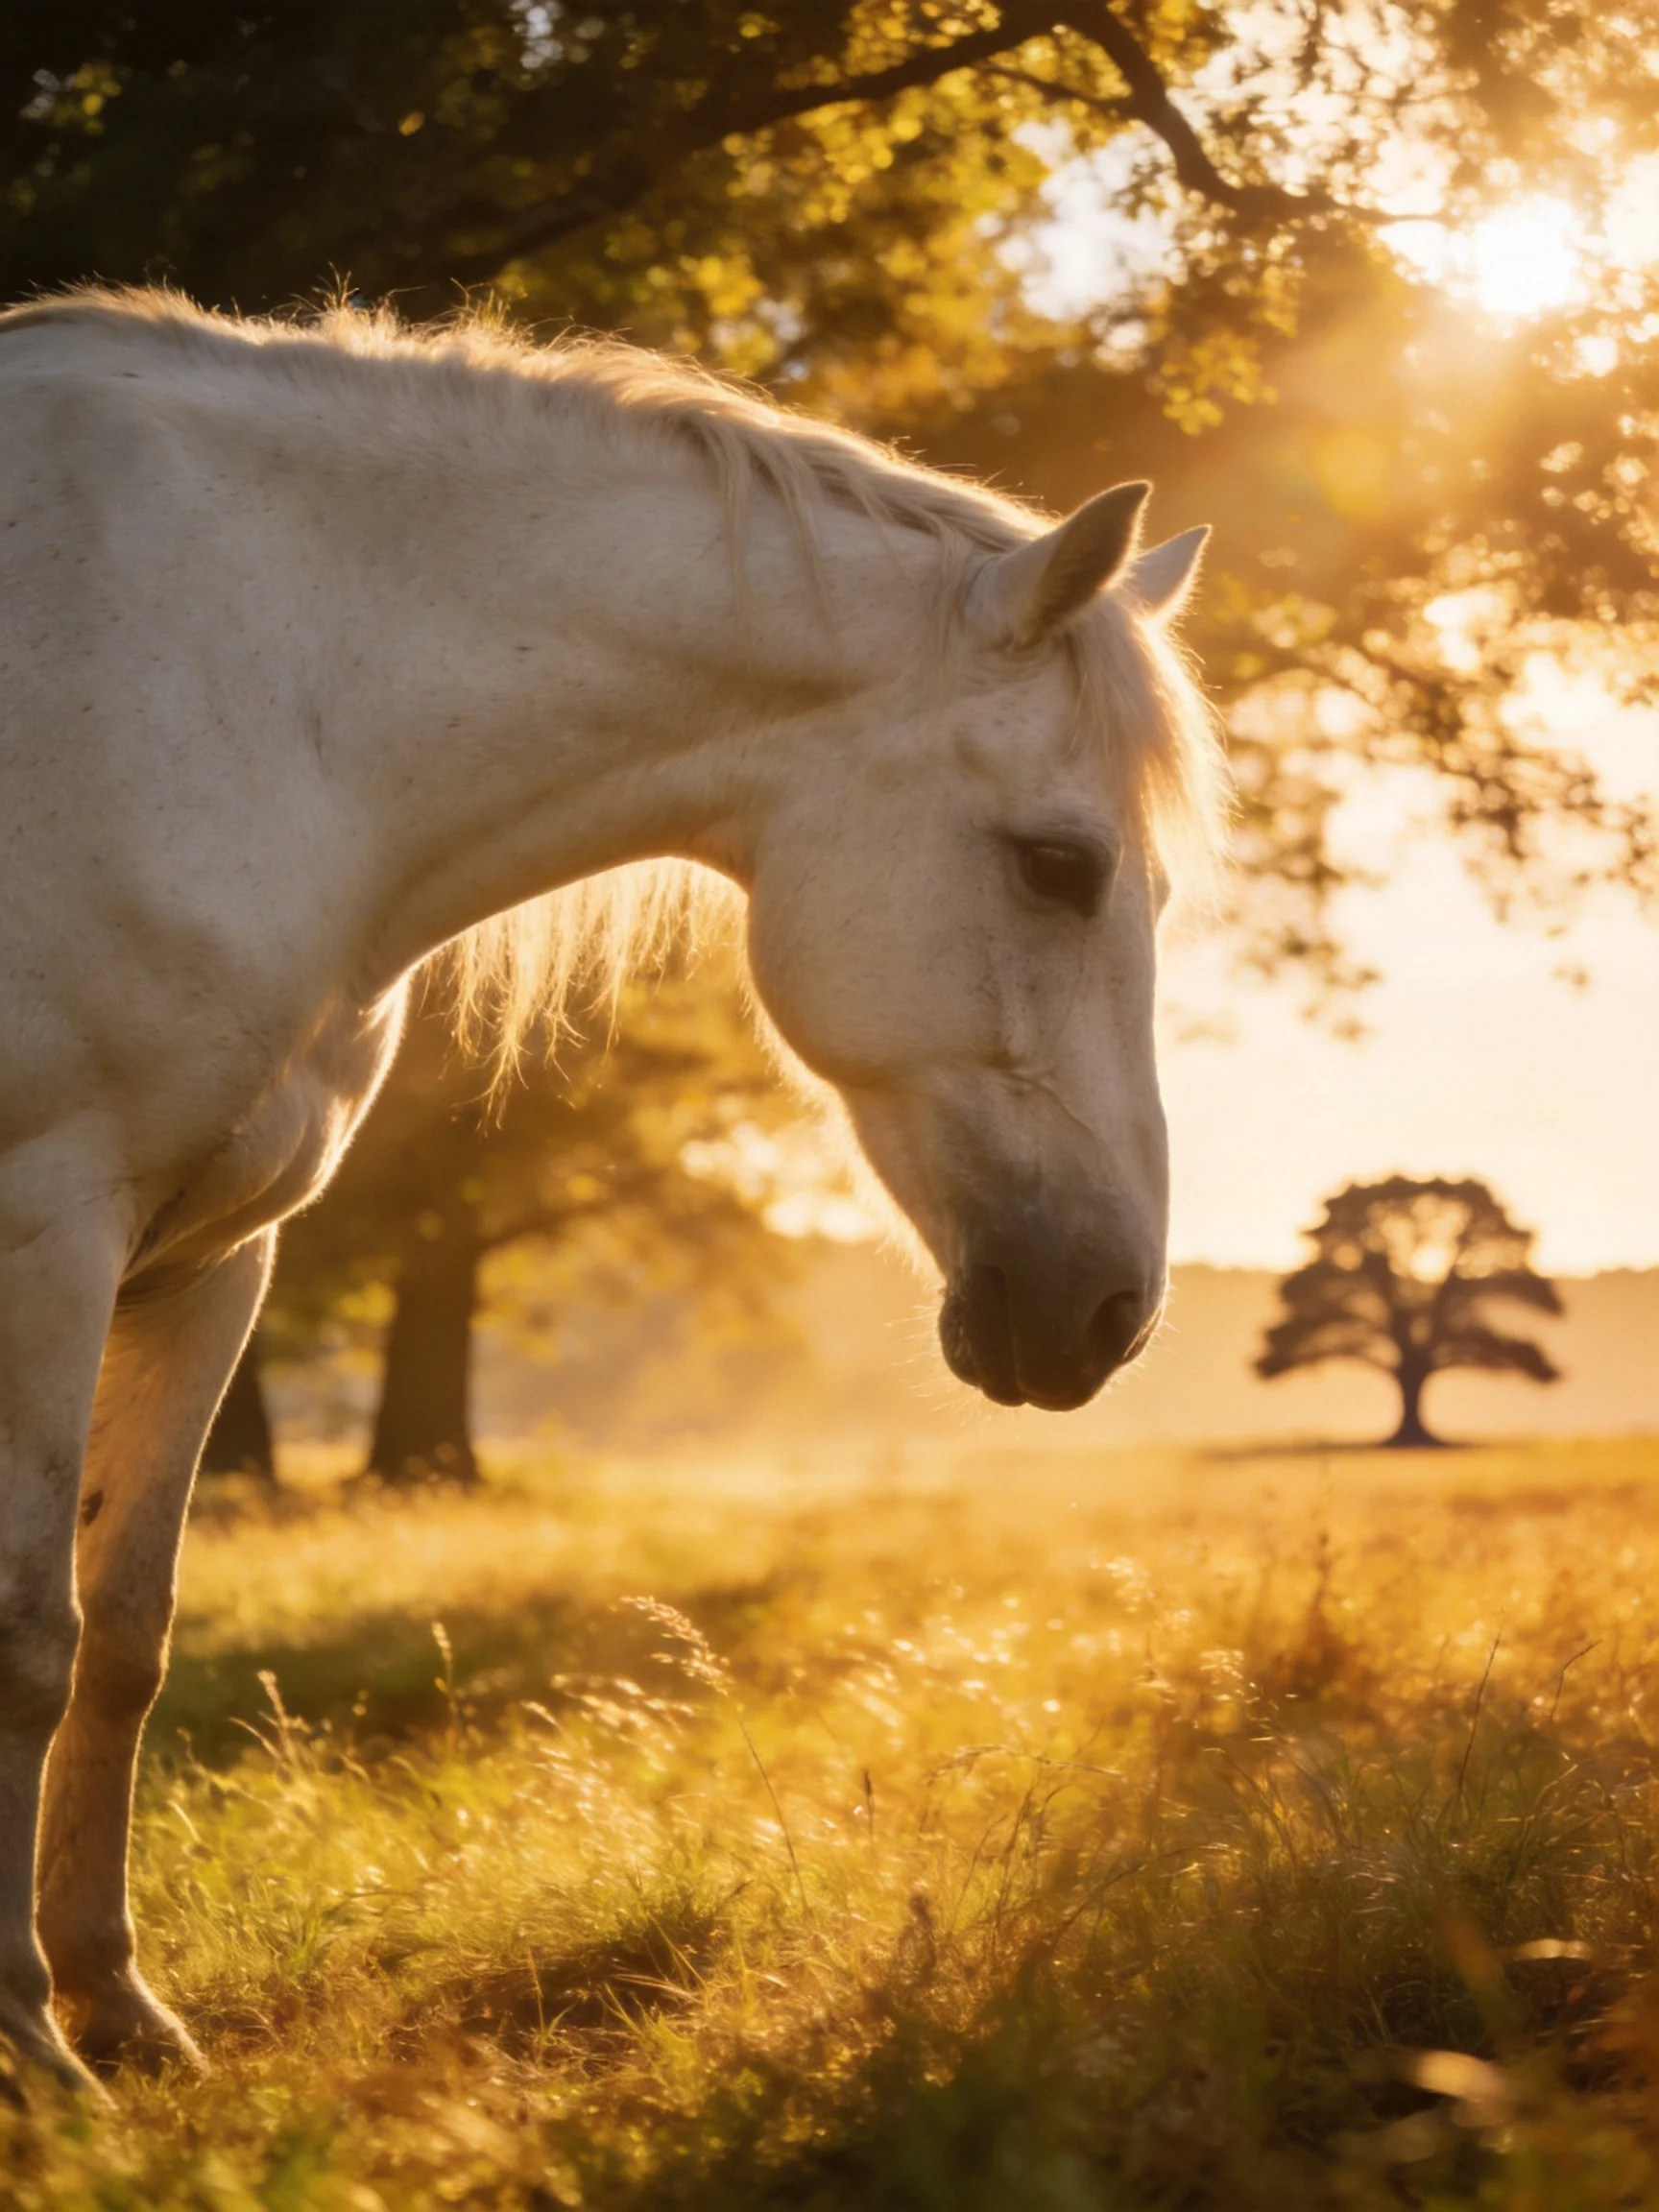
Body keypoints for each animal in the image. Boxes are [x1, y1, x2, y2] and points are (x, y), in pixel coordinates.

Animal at [0, 289, 1221, 2090]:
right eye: (1058, 865)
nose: (1111, 1310)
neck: (246, 675)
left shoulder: (209, 1255)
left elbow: (123, 1634)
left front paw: (116, 2005)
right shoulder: (47, 1225)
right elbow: (27, 1633)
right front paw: (29, 2040)